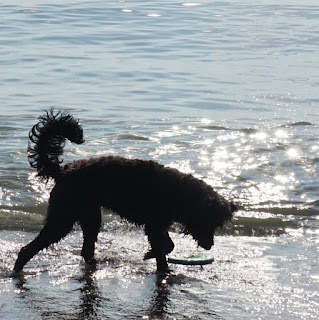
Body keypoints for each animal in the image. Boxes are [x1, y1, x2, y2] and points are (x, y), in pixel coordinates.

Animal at [13, 109, 238, 272]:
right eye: (208, 222)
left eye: (216, 225)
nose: (210, 246)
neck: (180, 193)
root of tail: (64, 170)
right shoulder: (154, 225)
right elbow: (165, 248)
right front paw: (155, 260)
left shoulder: (158, 225)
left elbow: (166, 247)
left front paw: (156, 261)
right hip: (63, 218)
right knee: (27, 249)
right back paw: (17, 272)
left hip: (90, 217)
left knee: (86, 250)